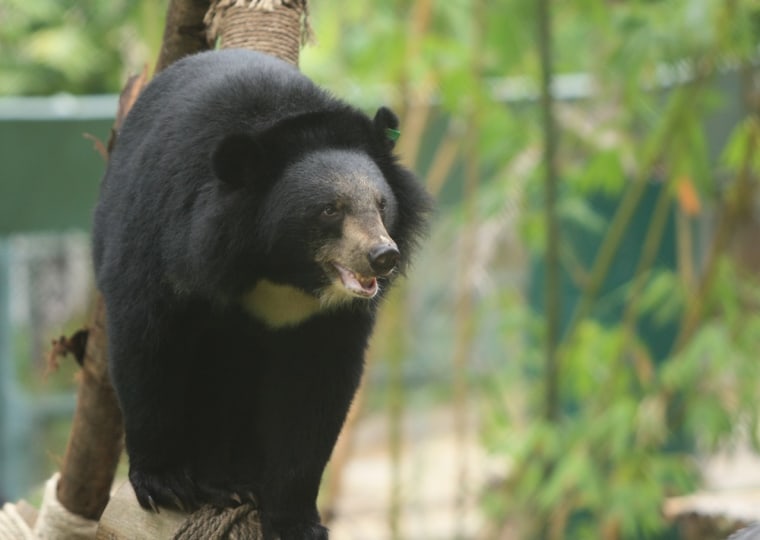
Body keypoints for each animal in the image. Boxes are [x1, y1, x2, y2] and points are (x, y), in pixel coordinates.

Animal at [92, 49, 431, 539]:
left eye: (381, 205)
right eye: (329, 210)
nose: (382, 256)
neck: (280, 270)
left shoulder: (328, 320)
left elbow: (315, 393)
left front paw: (296, 520)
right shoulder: (170, 245)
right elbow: (149, 344)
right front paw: (168, 483)